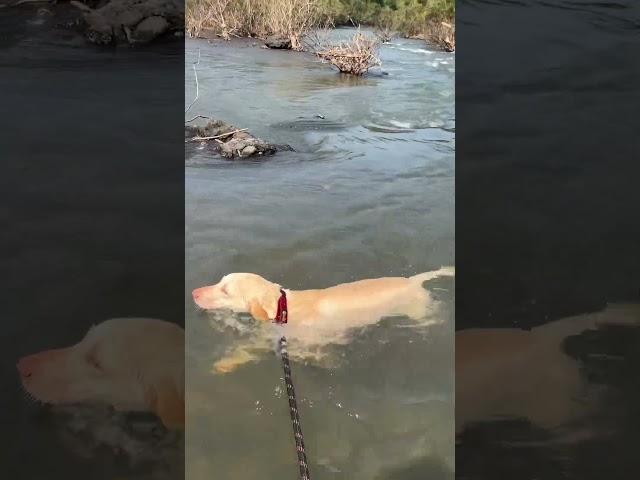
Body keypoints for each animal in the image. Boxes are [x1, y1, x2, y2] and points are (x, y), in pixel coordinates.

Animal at [191, 268, 456, 374]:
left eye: (225, 291)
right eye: (219, 281)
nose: (193, 292)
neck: (284, 306)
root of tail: (413, 280)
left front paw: (224, 364)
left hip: (418, 310)